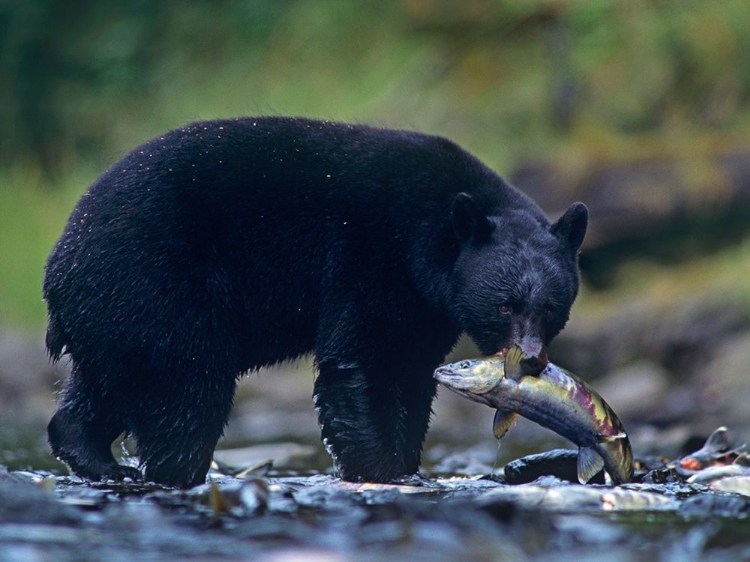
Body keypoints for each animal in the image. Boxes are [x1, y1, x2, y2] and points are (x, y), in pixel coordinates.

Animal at [44, 117, 592, 486]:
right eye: (505, 305)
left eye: (550, 307)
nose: (532, 360)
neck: (431, 241)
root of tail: (59, 262)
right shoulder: (371, 257)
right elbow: (362, 360)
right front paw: (382, 470)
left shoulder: (426, 307)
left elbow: (412, 372)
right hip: (158, 284)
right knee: (186, 383)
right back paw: (174, 471)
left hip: (115, 313)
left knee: (109, 382)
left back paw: (93, 456)